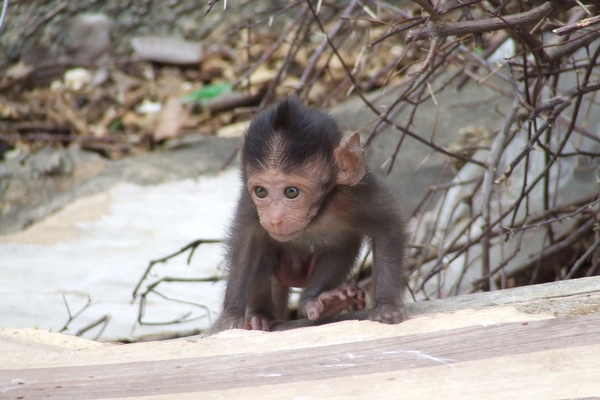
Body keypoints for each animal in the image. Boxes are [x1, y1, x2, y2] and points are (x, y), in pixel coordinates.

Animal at [209, 98, 410, 332]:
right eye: (261, 191)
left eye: (291, 192)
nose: (275, 218)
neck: (316, 214)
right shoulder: (250, 204)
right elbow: (247, 241)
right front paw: (229, 317)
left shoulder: (356, 195)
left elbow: (388, 227)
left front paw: (387, 306)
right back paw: (262, 314)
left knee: (341, 247)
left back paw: (318, 302)